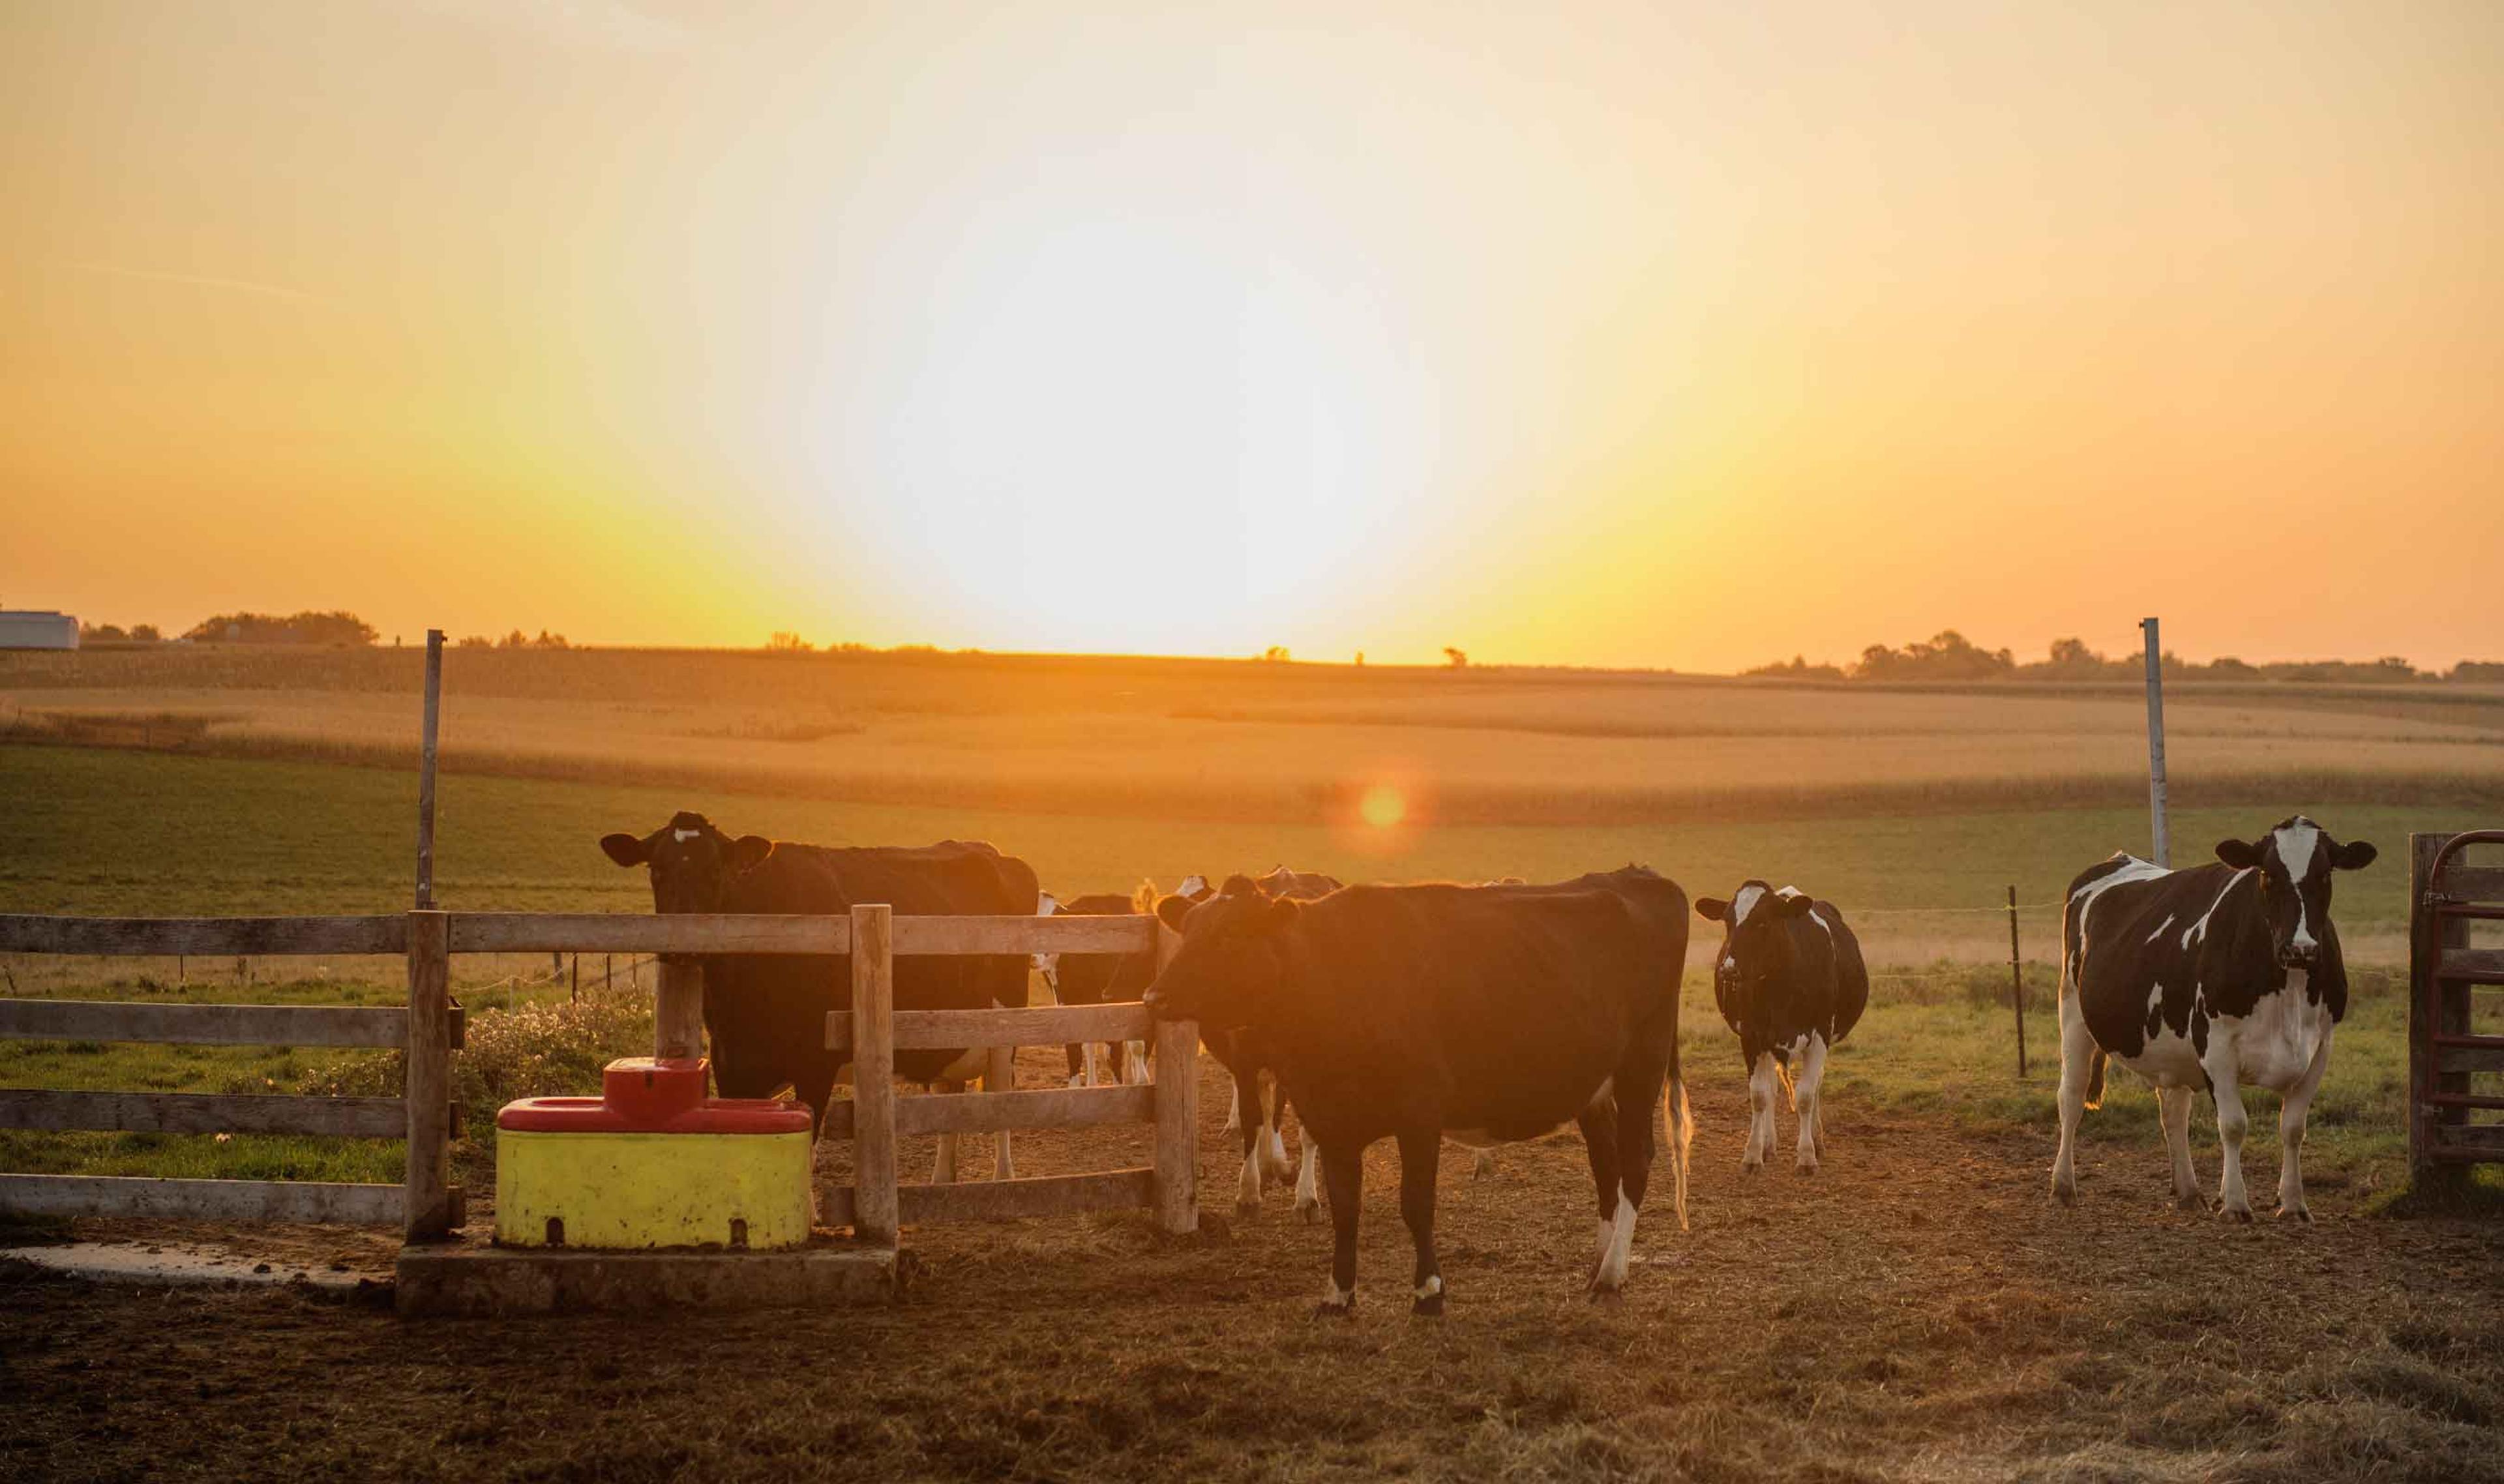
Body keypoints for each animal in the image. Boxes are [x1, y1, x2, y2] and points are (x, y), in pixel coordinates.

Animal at [595, 810, 1036, 1181]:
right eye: (656, 870)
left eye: (716, 871)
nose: (681, 943)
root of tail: (995, 853)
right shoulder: (732, 1063)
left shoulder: (815, 1064)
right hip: (950, 1031)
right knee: (950, 1099)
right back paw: (942, 1181)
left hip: (1004, 1025)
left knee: (1002, 1101)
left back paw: (1004, 1180)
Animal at [1026, 885, 1161, 1081]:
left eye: (1056, 927)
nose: (1032, 958)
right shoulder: (1067, 1005)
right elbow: (1078, 1053)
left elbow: (1126, 1051)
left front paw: (1139, 1081)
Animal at [1146, 861, 1692, 1311]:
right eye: (1189, 930)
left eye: (1229, 936)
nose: (1153, 997)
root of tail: (1640, 877)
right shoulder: (1329, 1116)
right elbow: (1346, 1206)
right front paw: (1338, 1293)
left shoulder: (1419, 1116)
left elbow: (1415, 1203)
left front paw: (1428, 1291)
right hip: (1593, 1087)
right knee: (1607, 1163)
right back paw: (1599, 1263)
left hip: (1640, 1067)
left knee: (1635, 1160)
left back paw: (1612, 1276)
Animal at [1692, 881, 1873, 1171]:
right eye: (1728, 922)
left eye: (1763, 922)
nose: (1728, 970)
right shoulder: (1751, 1036)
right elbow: (1759, 1095)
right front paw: (1753, 1155)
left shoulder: (1820, 1034)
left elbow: (1806, 1096)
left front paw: (1807, 1156)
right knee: (1772, 1088)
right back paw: (1768, 1144)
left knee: (1816, 1083)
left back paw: (1817, 1140)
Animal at [2053, 816, 2383, 1221]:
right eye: (2268, 874)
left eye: (2325, 874)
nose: (2301, 949)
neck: (2287, 989)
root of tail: (2117, 858)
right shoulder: (2216, 1045)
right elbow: (2233, 1125)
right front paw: (2236, 1204)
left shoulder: (2320, 1048)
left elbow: (2293, 1128)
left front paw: (2293, 1203)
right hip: (2074, 1015)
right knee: (2071, 1097)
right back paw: (2063, 1185)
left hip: (2170, 1044)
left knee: (2173, 1112)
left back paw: (2188, 1190)